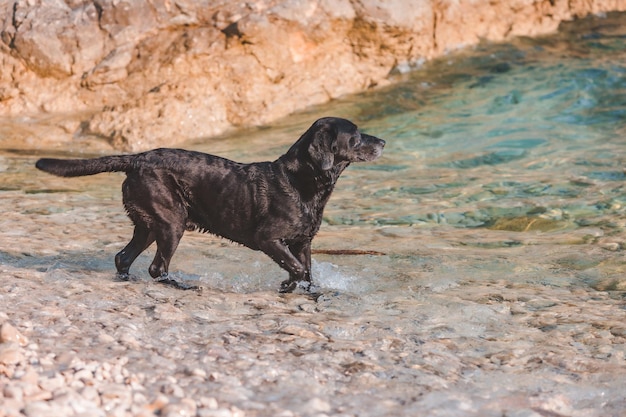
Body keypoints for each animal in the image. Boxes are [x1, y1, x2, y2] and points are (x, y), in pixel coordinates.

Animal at [37, 117, 386, 290]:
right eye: (356, 136)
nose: (383, 141)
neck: (302, 182)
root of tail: (137, 158)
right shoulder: (269, 239)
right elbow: (298, 269)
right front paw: (287, 285)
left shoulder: (303, 241)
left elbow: (308, 271)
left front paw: (307, 291)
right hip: (171, 222)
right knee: (156, 267)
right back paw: (180, 286)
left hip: (149, 224)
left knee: (123, 258)